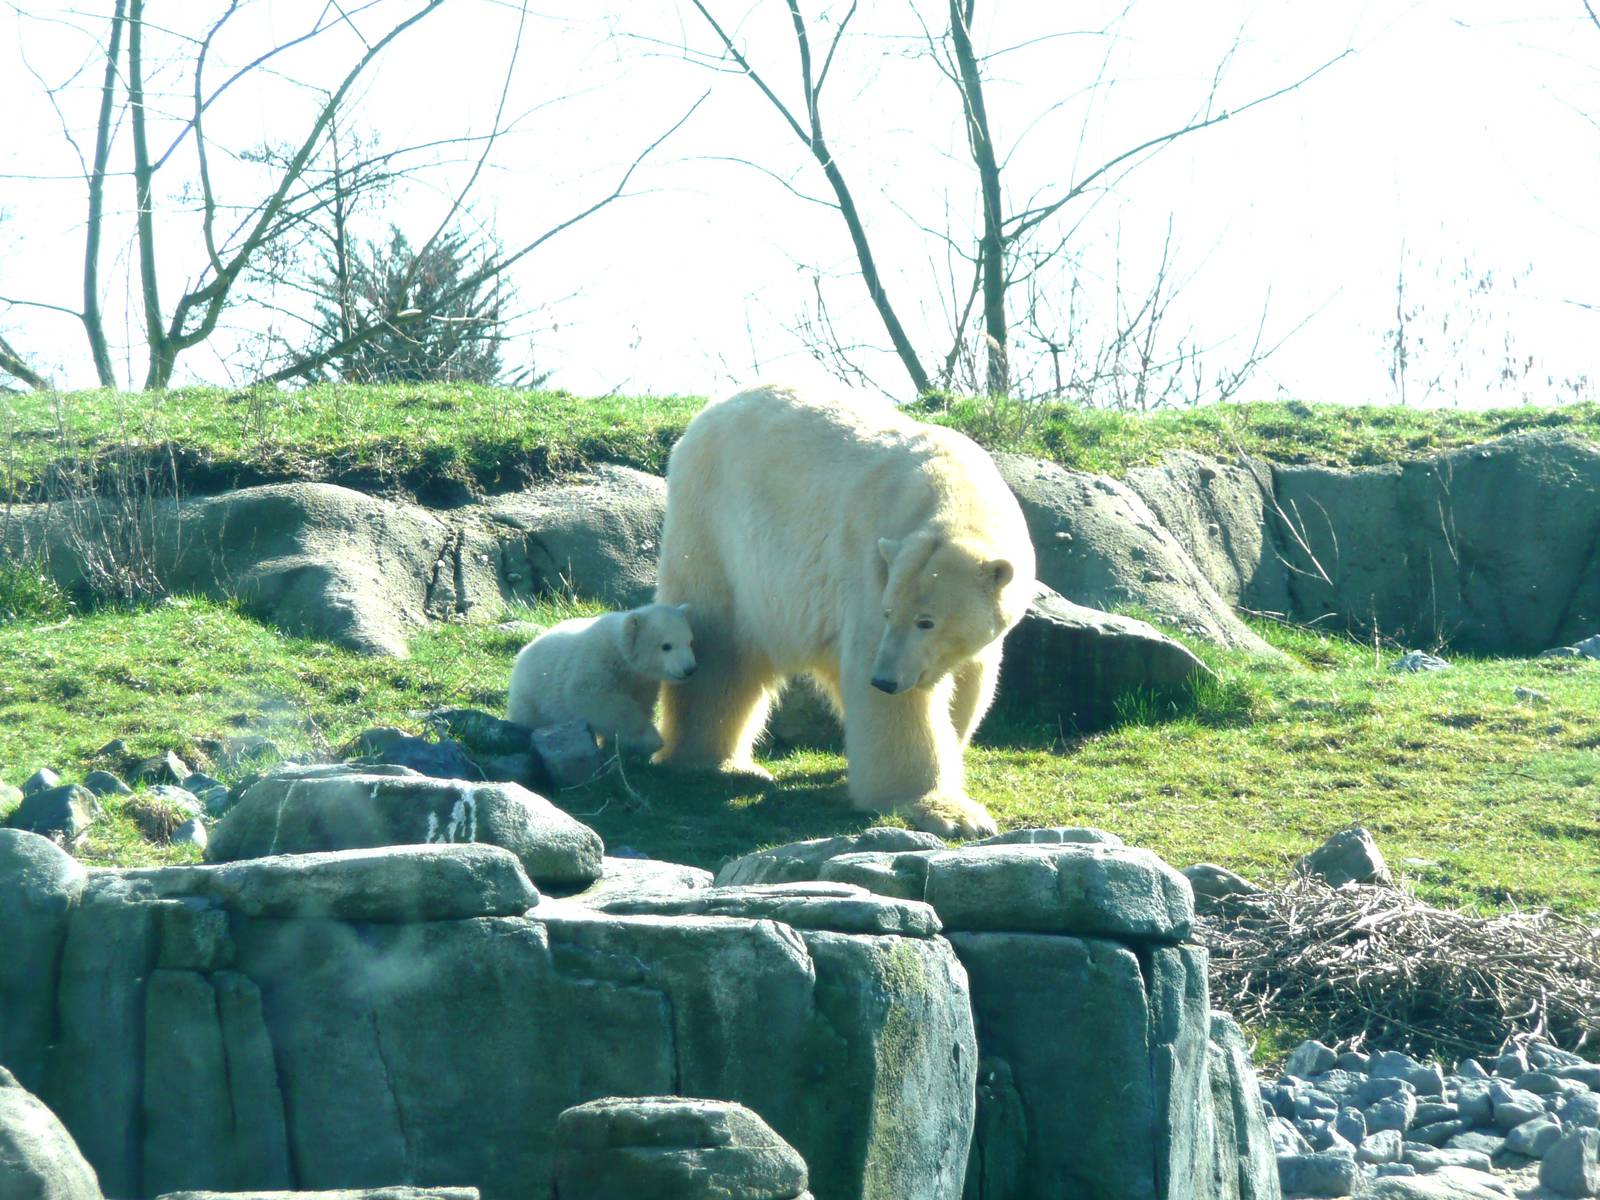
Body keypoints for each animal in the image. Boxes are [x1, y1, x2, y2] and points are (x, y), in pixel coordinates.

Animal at [506, 603, 696, 756]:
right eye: (666, 646)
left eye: (689, 642)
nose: (689, 669)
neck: (621, 654)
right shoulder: (596, 664)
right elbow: (598, 701)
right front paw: (651, 739)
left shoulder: (641, 682)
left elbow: (641, 703)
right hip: (532, 696)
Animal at [653, 383, 1036, 837]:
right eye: (889, 612)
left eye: (927, 621)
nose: (885, 679)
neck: (955, 490)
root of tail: (704, 416)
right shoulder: (873, 566)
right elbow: (896, 700)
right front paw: (950, 813)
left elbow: (972, 676)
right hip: (716, 531)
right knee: (721, 649)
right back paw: (717, 763)